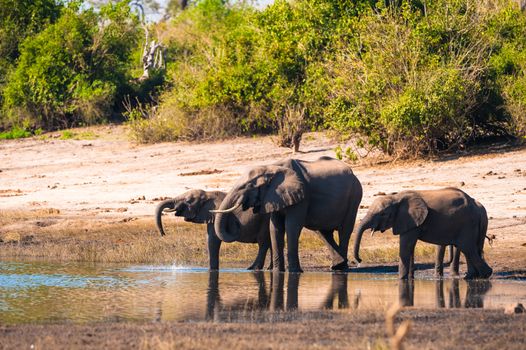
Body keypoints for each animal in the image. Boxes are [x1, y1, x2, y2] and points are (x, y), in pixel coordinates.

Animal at [210, 157, 364, 274]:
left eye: (248, 186)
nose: (236, 223)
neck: (271, 168)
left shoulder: (301, 196)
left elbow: (292, 226)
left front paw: (294, 272)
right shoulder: (274, 196)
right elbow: (275, 227)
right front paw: (278, 272)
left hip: (354, 196)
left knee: (344, 231)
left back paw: (342, 269)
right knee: (323, 232)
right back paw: (337, 266)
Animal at [354, 187, 496, 280]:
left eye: (383, 214)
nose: (359, 260)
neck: (396, 197)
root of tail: (477, 205)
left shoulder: (411, 219)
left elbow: (406, 246)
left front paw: (401, 279)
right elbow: (410, 247)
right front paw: (409, 279)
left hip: (467, 224)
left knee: (468, 248)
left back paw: (485, 275)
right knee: (471, 249)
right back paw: (471, 277)